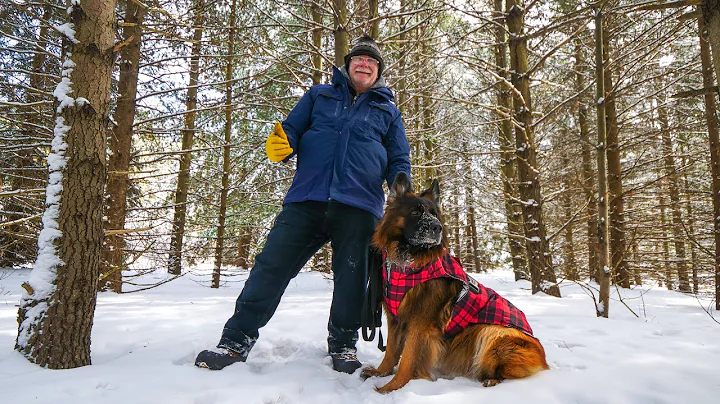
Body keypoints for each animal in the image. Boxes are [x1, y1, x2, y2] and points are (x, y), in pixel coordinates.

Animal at [362, 172, 548, 392]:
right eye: (415, 212)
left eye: (434, 214)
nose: (437, 227)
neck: (410, 263)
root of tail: (543, 358)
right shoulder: (395, 319)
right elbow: (390, 351)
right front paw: (380, 373)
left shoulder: (420, 325)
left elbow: (407, 358)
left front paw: (391, 388)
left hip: (491, 332)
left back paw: (490, 380)